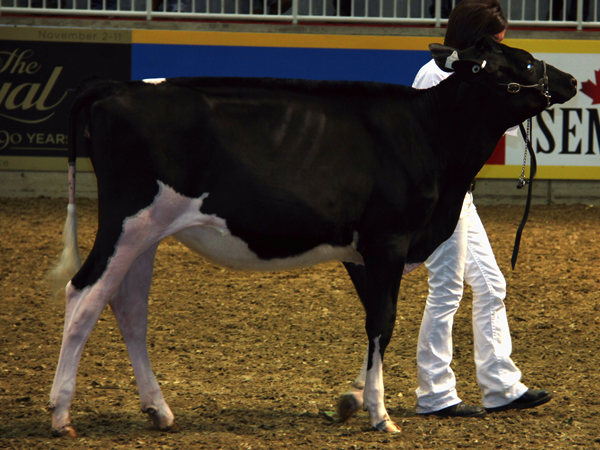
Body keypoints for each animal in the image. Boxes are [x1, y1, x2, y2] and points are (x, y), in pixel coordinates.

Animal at [48, 37, 576, 438]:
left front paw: (354, 399)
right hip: (127, 222)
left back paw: (158, 411)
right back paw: (60, 414)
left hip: (147, 234)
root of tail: (117, 89)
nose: (570, 80)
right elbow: (384, 321)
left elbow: (374, 323)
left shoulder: (362, 253)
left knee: (129, 310)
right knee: (83, 296)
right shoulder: (388, 241)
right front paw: (380, 415)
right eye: (527, 61)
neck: (429, 134)